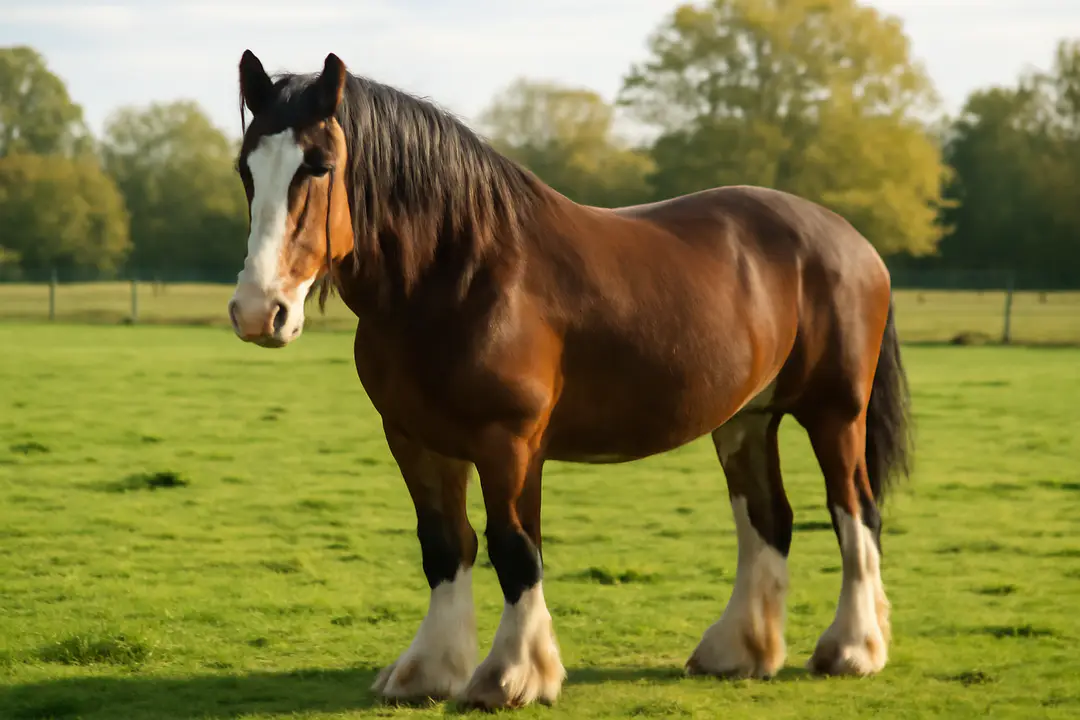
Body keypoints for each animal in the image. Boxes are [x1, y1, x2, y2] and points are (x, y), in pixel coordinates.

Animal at [227, 50, 913, 710]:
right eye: (246, 169)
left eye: (318, 166)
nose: (260, 312)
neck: (461, 276)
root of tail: (851, 240)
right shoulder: (415, 440)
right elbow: (444, 544)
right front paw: (428, 672)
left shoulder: (509, 444)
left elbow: (514, 547)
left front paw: (512, 676)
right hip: (746, 418)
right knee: (767, 517)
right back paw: (738, 651)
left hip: (835, 413)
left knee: (855, 511)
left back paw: (853, 648)